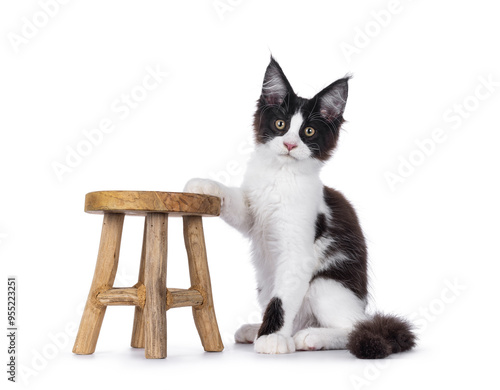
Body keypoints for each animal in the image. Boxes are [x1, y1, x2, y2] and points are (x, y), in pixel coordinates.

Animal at [184, 56, 414, 358]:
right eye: (280, 124)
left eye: (309, 131)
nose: (290, 144)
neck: (280, 176)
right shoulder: (252, 214)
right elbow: (235, 202)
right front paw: (203, 185)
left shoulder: (297, 253)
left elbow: (281, 301)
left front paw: (271, 339)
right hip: (267, 284)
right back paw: (260, 331)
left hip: (324, 285)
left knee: (353, 327)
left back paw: (309, 337)